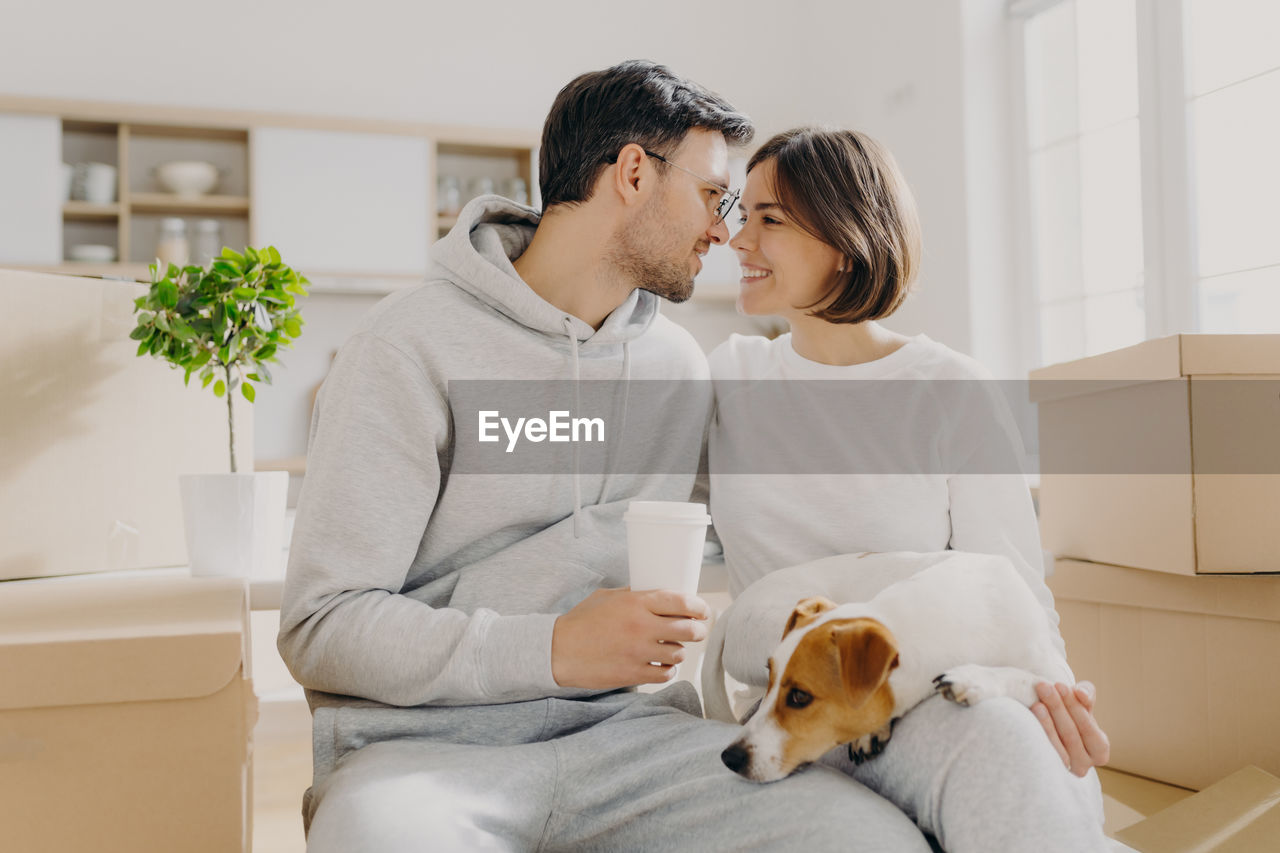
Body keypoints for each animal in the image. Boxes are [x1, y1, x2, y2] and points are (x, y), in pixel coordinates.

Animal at [706, 548, 1075, 778]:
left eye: (800, 697)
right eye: (775, 685)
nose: (728, 757)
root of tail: (734, 605)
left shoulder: (1062, 682)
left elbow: (1022, 677)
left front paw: (974, 678)